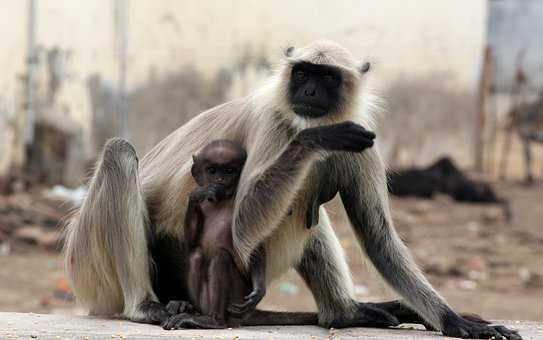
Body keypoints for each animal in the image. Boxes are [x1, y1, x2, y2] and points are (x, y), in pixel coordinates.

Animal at [181, 139, 266, 328]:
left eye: (229, 171)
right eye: (212, 170)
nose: (219, 180)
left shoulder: (246, 203)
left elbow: (254, 247)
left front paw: (259, 291)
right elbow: (191, 242)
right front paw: (196, 195)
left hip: (237, 300)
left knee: (220, 256)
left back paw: (214, 321)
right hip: (208, 302)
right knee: (196, 255)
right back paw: (196, 313)